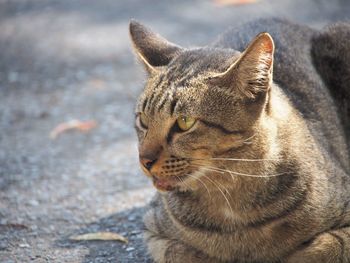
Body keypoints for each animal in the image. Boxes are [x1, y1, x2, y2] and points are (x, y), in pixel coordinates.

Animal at [129, 17, 350, 262]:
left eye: (185, 122)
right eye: (143, 120)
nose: (144, 160)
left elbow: (324, 248)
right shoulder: (154, 231)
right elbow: (184, 253)